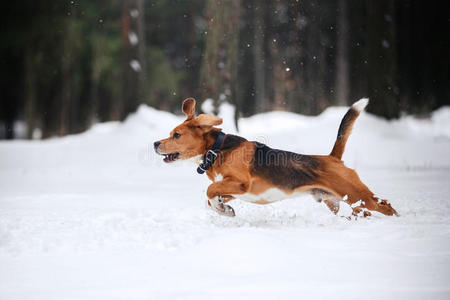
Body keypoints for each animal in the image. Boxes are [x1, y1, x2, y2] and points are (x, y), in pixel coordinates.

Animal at [155, 98, 398, 218]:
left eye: (176, 135)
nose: (155, 144)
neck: (217, 149)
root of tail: (333, 158)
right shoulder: (231, 188)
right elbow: (211, 197)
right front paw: (224, 210)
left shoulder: (240, 183)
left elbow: (209, 191)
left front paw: (222, 209)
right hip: (341, 201)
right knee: (363, 211)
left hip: (358, 195)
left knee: (385, 205)